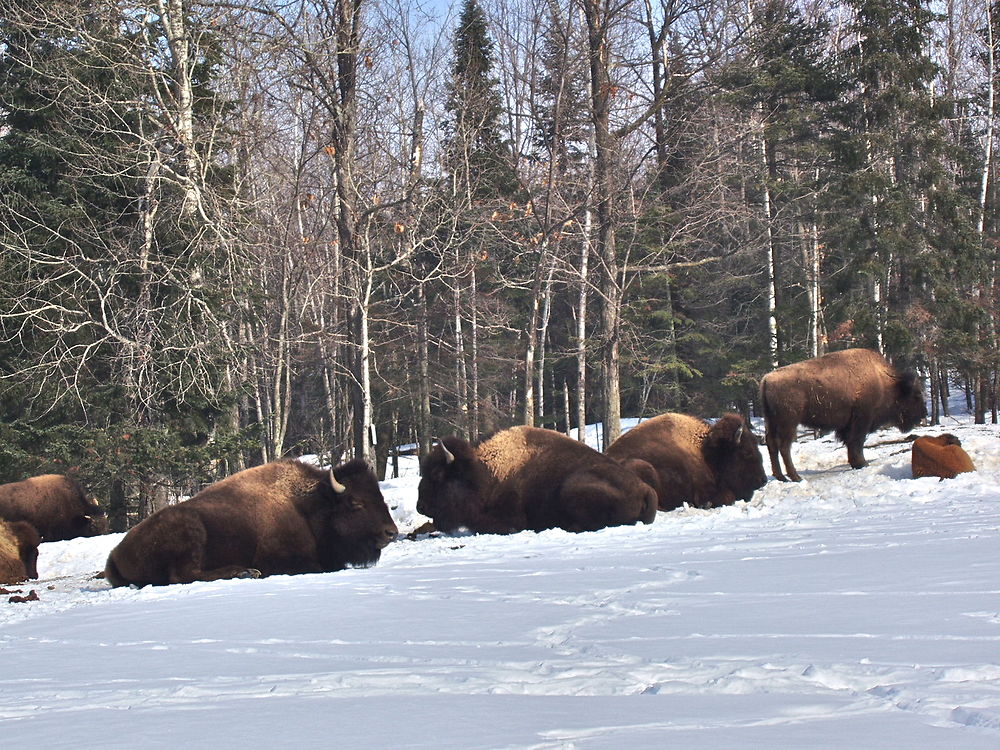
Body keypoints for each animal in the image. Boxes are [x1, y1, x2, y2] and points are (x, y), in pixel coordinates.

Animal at [103, 458, 394, 588]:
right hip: (191, 530)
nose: (391, 532)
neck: (309, 505)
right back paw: (244, 572)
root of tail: (114, 554)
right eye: (355, 502)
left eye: (379, 496)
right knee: (183, 575)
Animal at [416, 426, 660, 536]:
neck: (481, 473)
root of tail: (646, 489)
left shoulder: (511, 520)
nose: (421, 506)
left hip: (571, 487)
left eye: (437, 475)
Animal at [756, 348, 928, 482]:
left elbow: (850, 443)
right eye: (916, 395)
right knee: (784, 446)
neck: (884, 380)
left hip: (771, 421)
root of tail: (767, 379)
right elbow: (856, 442)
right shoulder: (862, 419)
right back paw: (795, 477)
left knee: (772, 444)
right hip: (789, 422)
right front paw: (862, 463)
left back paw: (781, 477)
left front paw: (856, 463)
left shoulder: (848, 424)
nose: (924, 414)